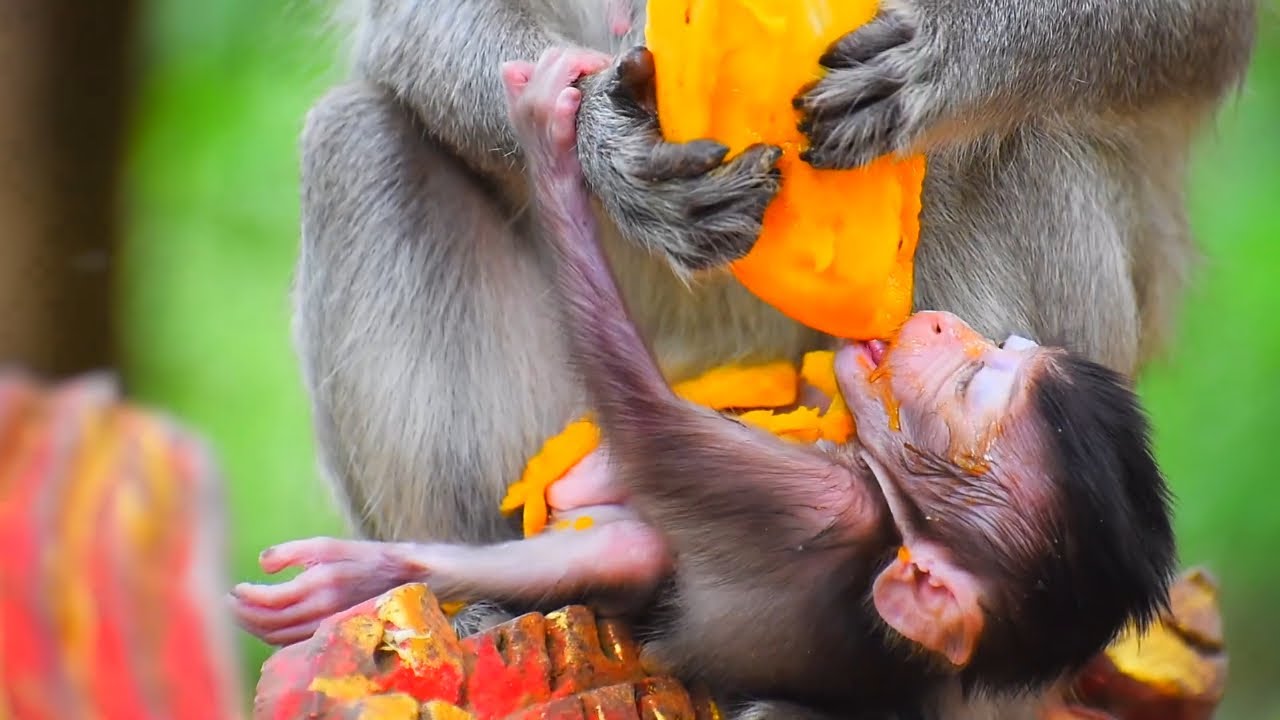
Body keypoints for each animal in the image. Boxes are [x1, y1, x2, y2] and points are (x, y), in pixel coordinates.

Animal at [234, 50, 1178, 719]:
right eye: (995, 352)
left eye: (974, 387)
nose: (945, 327)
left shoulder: (819, 508)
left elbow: (643, 422)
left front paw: (562, 142)